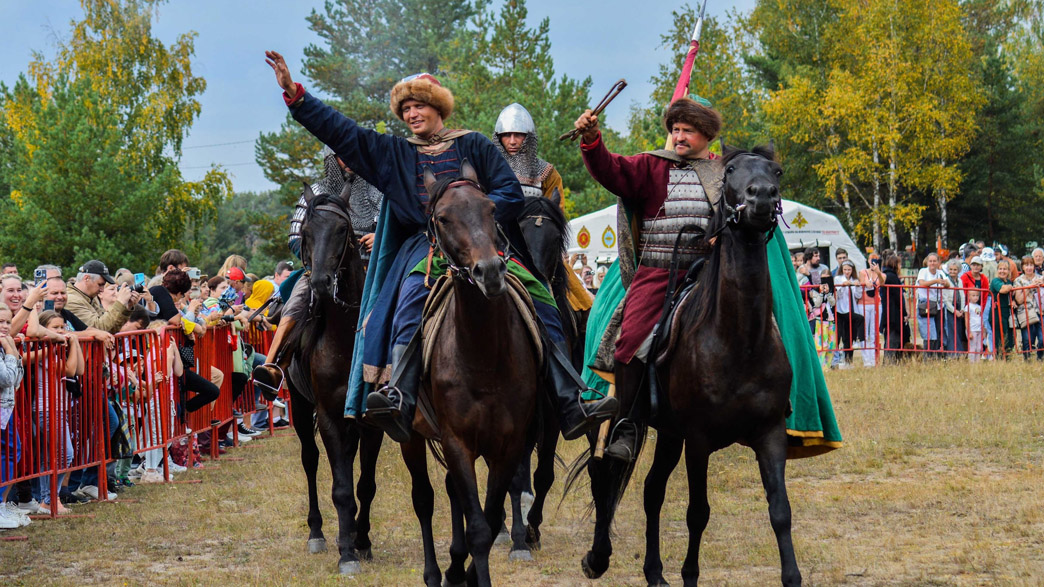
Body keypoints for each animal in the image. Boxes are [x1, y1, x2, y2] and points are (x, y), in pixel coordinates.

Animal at [281, 181, 384, 572]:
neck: (346, 337)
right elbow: (340, 488)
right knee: (309, 461)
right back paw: (318, 533)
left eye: (342, 230)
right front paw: (346, 552)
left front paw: (362, 541)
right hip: (298, 404)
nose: (322, 283)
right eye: (307, 232)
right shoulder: (326, 416)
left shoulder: (370, 419)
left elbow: (364, 485)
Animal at [398, 159, 542, 584]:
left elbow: (490, 520)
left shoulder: (508, 443)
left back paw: (454, 566)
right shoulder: (457, 441)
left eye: (492, 210)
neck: (483, 359)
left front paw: (469, 570)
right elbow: (478, 525)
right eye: (444, 218)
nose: (490, 272)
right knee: (424, 499)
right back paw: (434, 572)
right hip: (412, 435)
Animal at [580, 145, 797, 584]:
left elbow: (780, 512)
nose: (761, 199)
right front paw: (690, 574)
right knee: (606, 474)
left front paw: (793, 576)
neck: (740, 341)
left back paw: (653, 571)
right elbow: (698, 513)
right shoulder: (699, 439)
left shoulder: (770, 434)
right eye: (730, 171)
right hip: (624, 416)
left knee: (651, 490)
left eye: (777, 171)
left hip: (669, 432)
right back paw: (598, 556)